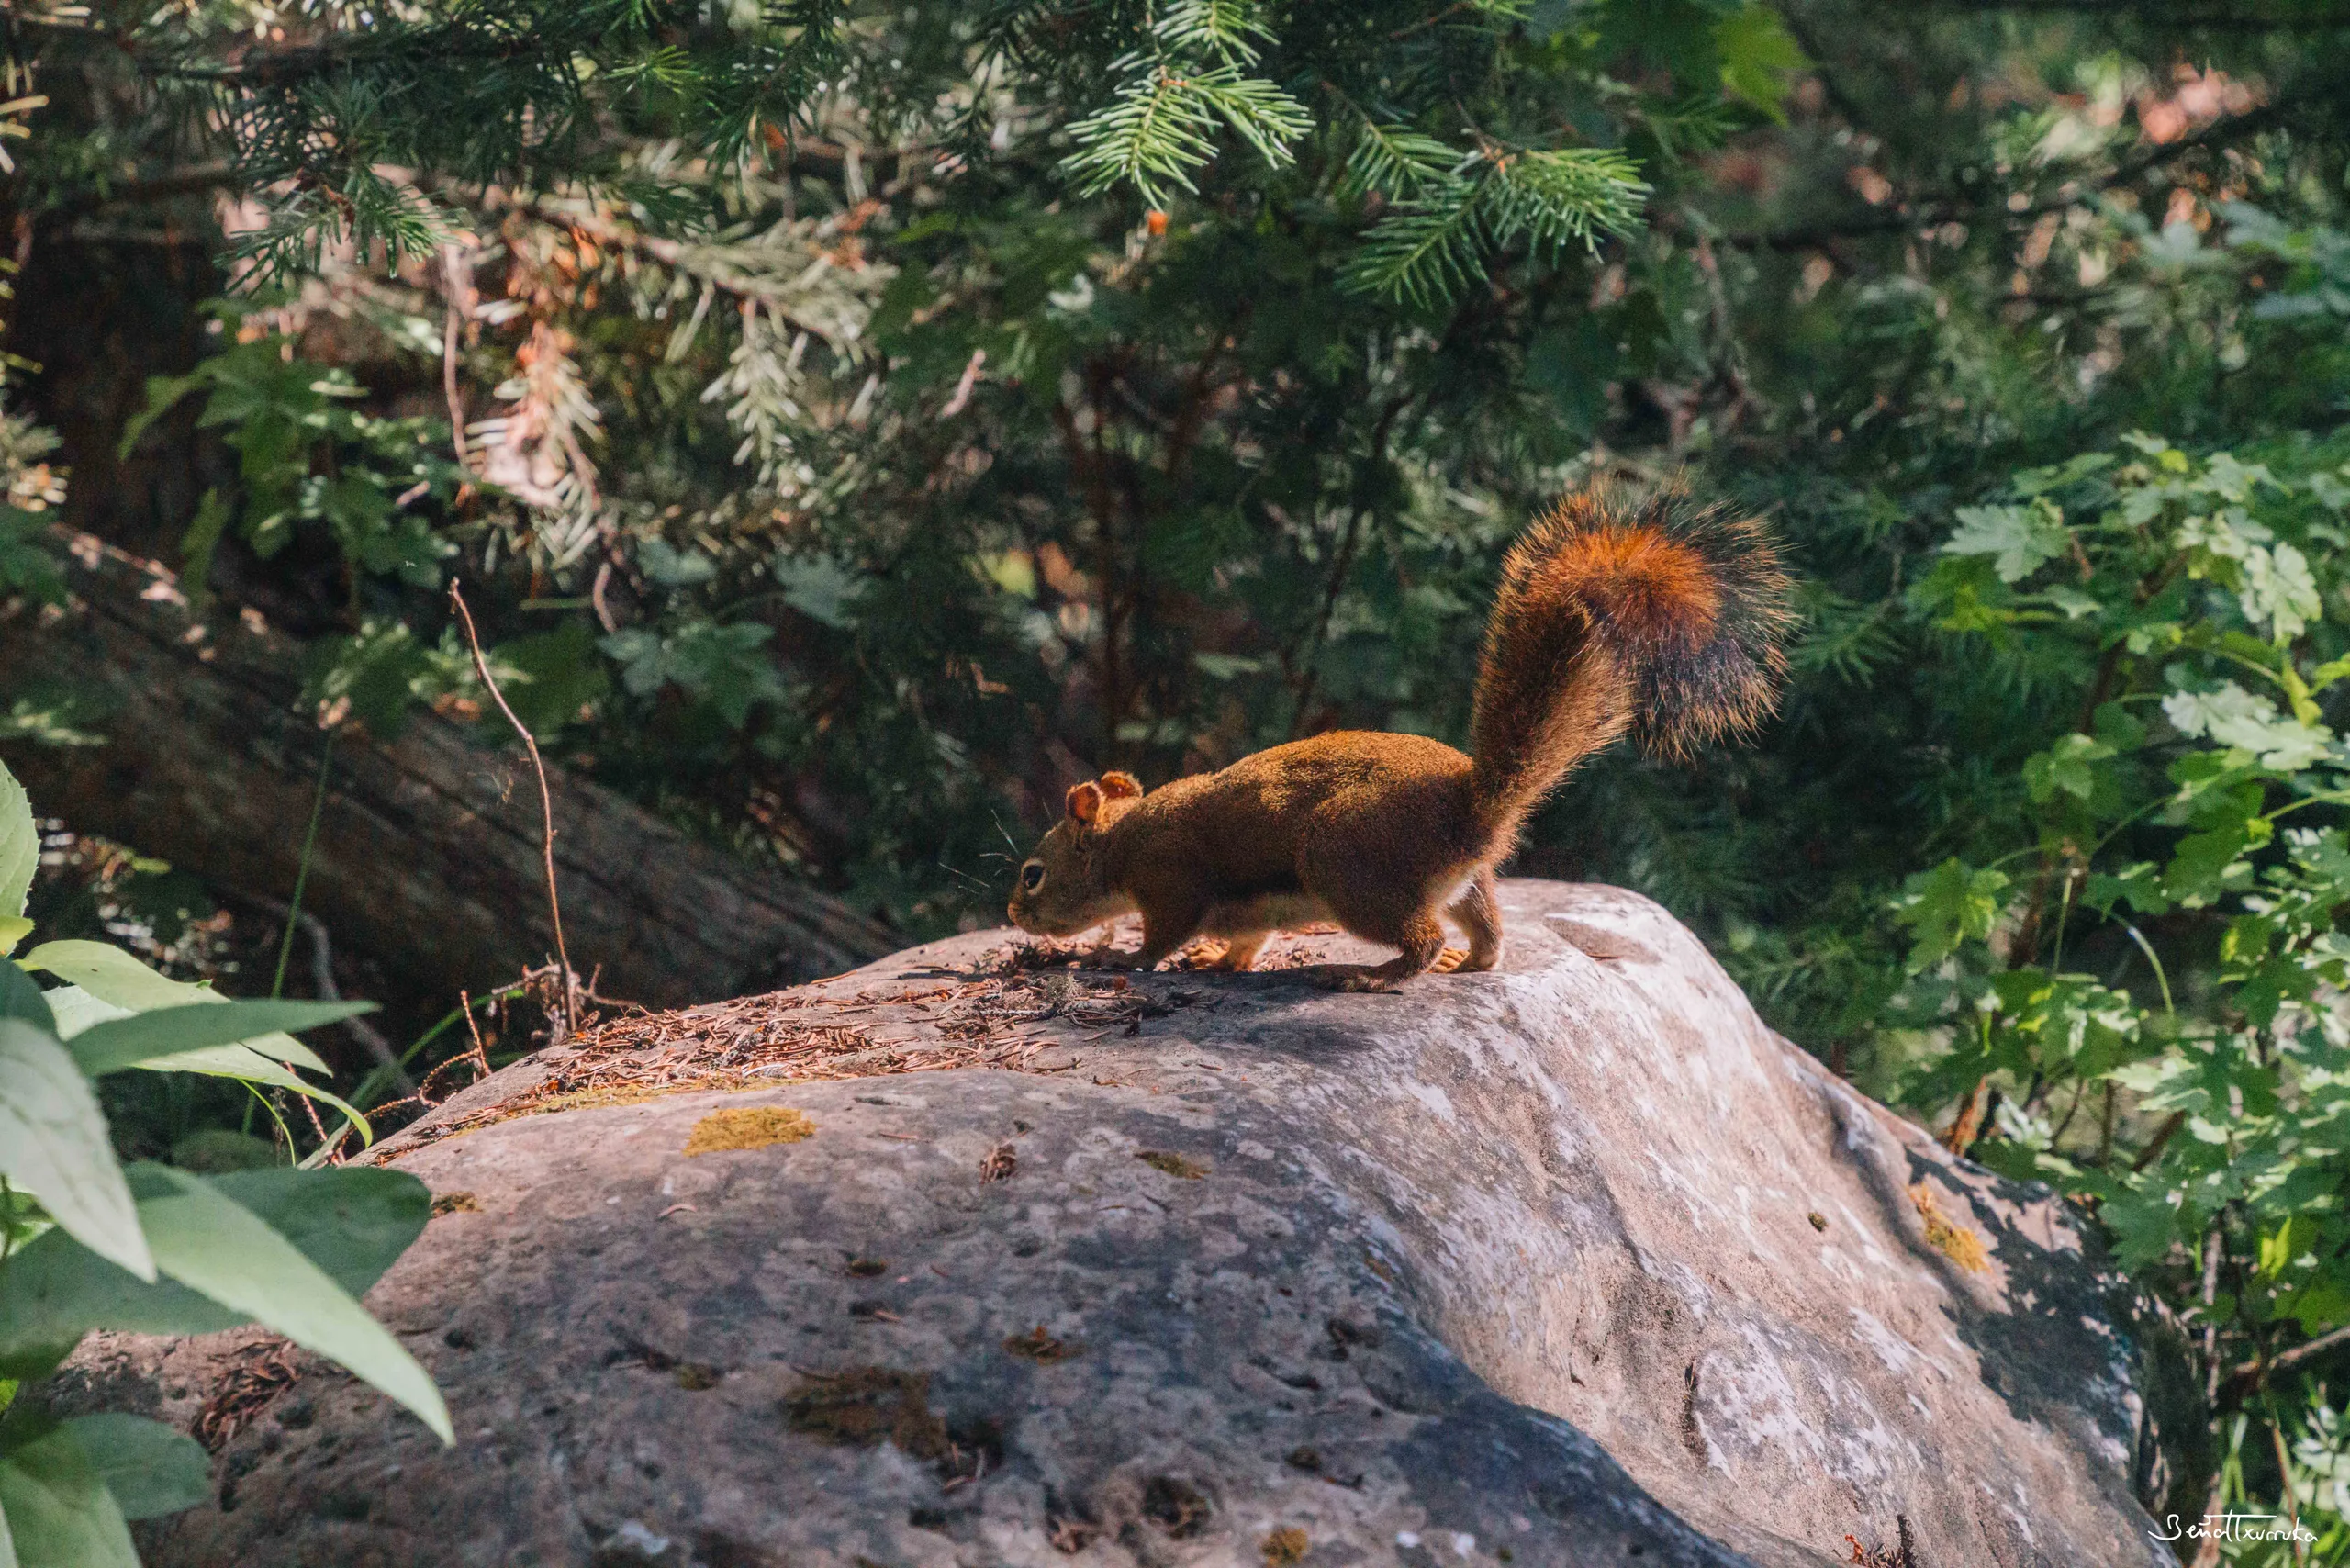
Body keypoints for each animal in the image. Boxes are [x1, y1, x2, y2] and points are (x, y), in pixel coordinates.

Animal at [1006, 480, 1794, 990]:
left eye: (1033, 873)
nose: (1013, 913)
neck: (1125, 838)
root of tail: (1472, 809)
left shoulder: (1170, 880)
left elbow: (1161, 937)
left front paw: (1120, 961)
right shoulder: (1238, 909)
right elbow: (1248, 937)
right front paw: (1221, 962)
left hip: (1345, 862)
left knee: (1421, 935)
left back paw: (1381, 974)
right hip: (1465, 881)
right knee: (1488, 937)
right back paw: (1466, 962)